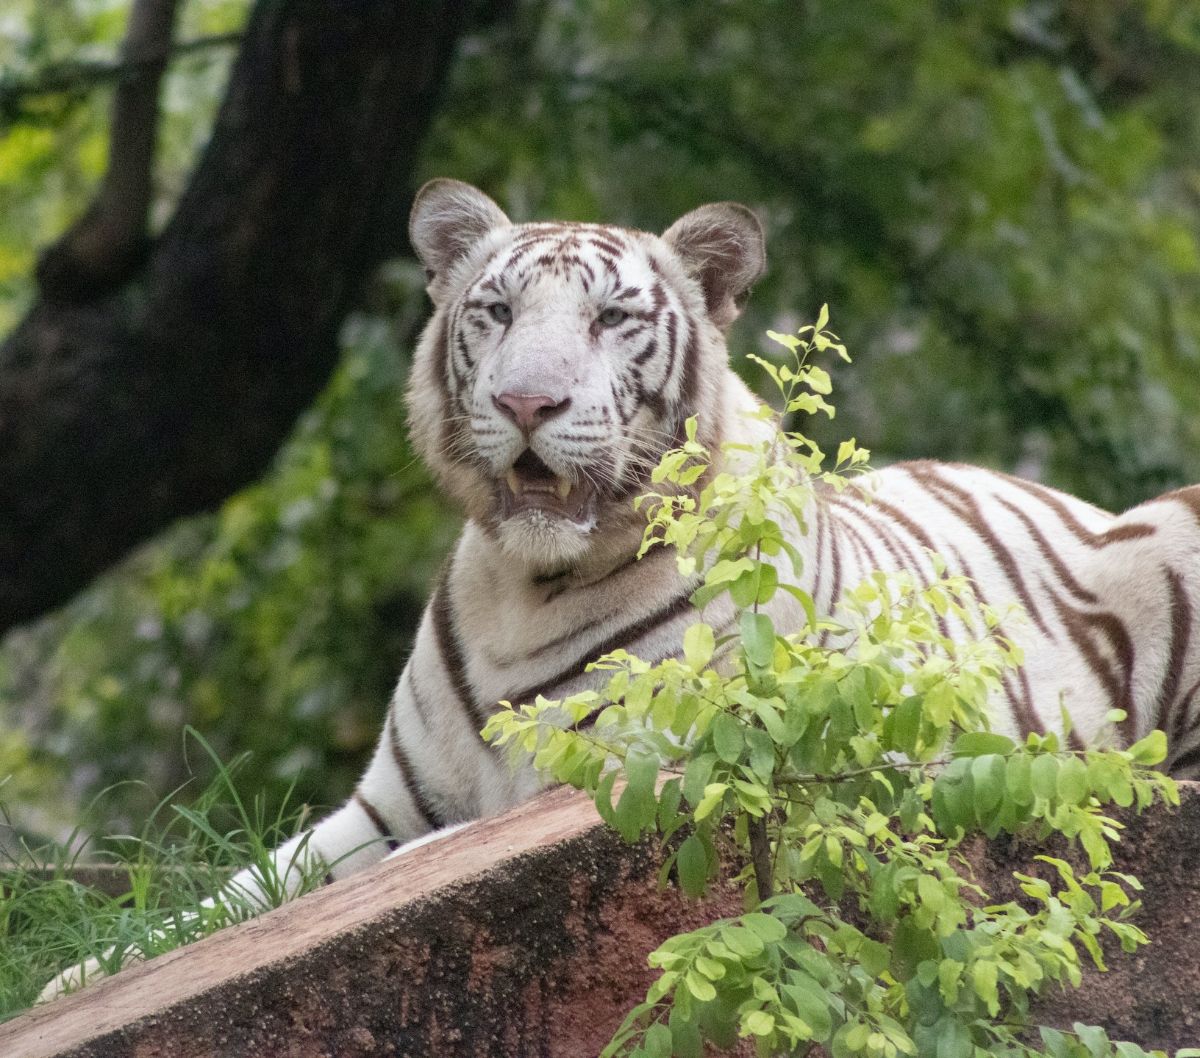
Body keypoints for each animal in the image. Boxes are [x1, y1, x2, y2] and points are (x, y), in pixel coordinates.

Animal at [39, 177, 1200, 993]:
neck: (522, 581)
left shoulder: (618, 777)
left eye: (610, 320)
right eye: (497, 311)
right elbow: (233, 902)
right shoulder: (387, 802)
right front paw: (75, 976)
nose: (526, 401)